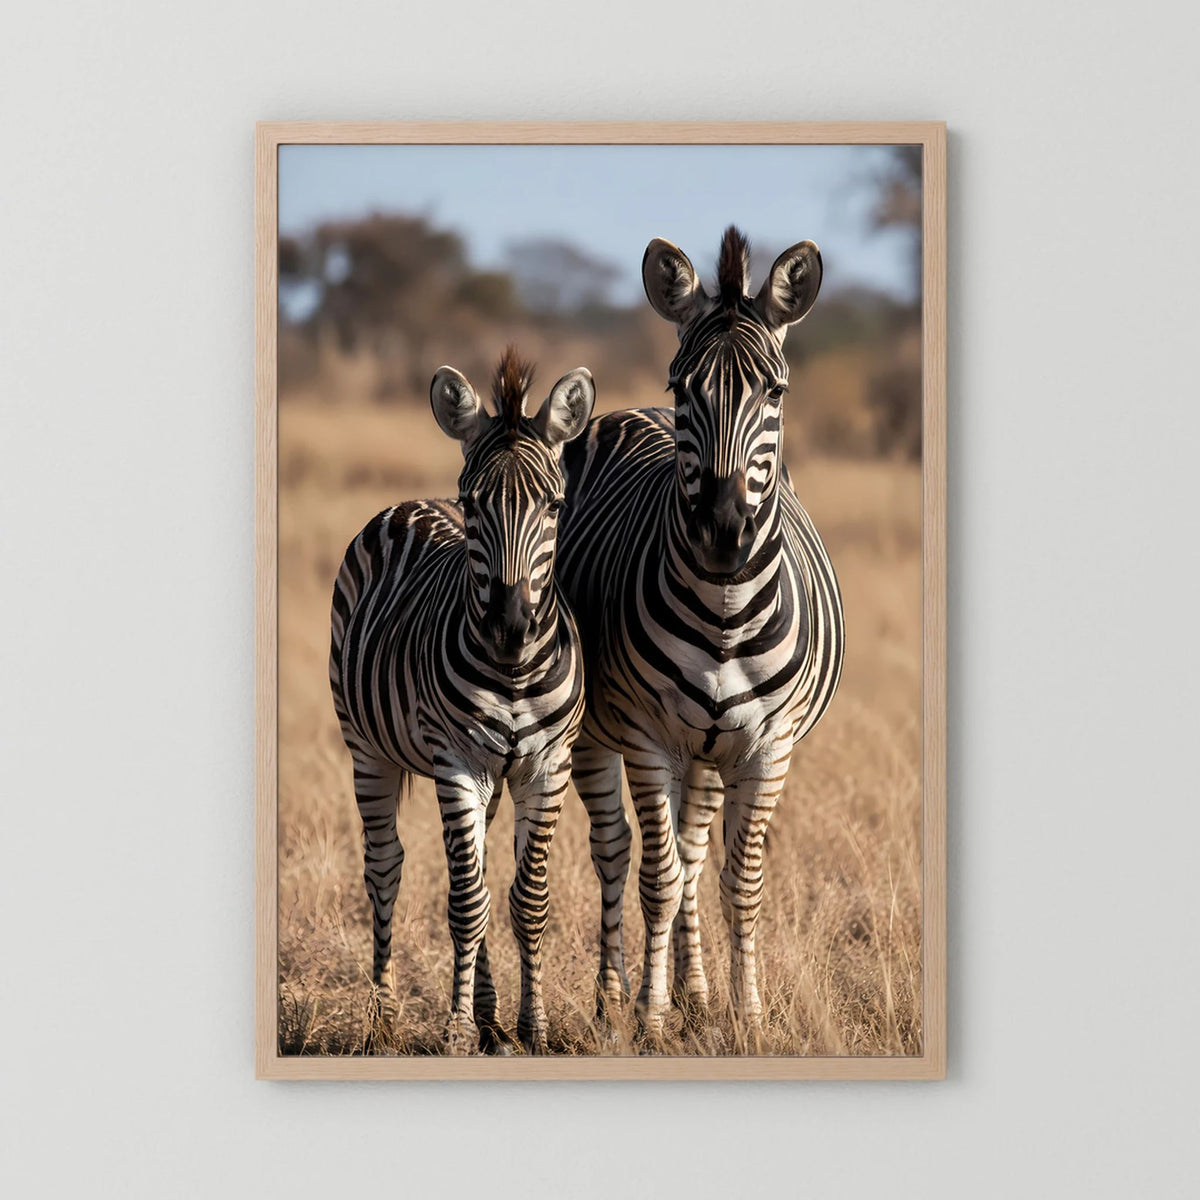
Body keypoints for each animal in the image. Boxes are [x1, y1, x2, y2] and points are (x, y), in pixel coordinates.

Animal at [329, 348, 595, 1054]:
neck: (514, 672)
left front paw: (531, 1026)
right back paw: (384, 1015)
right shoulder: (456, 764)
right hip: (366, 749)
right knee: (385, 867)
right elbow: (466, 903)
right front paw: (452, 1029)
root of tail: (413, 503)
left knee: (474, 869)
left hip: (494, 779)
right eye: (476, 506)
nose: (510, 624)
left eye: (554, 505)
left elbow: (526, 899)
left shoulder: (547, 767)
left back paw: (490, 1015)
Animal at [557, 227, 845, 1040]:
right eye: (682, 387)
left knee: (689, 849)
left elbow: (736, 880)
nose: (723, 531)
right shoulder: (647, 735)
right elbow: (656, 877)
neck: (724, 609)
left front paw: (744, 1014)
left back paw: (698, 992)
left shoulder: (767, 747)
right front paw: (650, 1019)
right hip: (601, 735)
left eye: (775, 392)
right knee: (618, 852)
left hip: (711, 752)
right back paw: (615, 998)